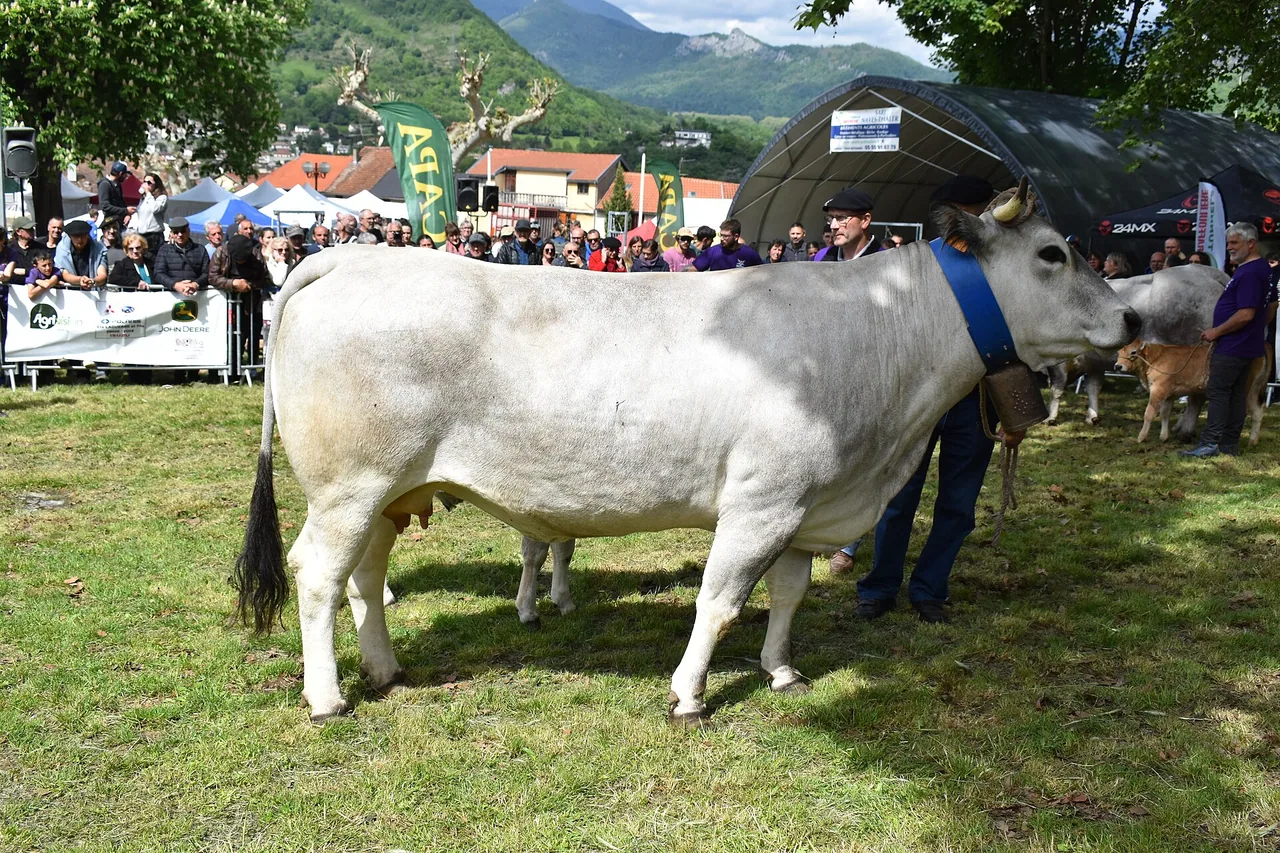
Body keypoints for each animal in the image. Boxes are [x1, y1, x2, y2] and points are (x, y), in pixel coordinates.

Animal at [233, 180, 1139, 726]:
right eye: (1052, 253)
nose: (1132, 319)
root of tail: (350, 254)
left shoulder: (804, 503)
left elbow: (787, 596)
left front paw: (781, 671)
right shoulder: (760, 502)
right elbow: (721, 601)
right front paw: (690, 693)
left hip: (387, 491)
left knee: (367, 577)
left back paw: (384, 669)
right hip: (350, 484)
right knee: (319, 574)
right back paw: (327, 695)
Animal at [1115, 340, 1268, 444]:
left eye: (1133, 352)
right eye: (1119, 352)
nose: (1117, 366)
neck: (1154, 359)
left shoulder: (1158, 391)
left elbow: (1149, 414)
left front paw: (1141, 437)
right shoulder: (1169, 395)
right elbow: (1165, 414)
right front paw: (1164, 436)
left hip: (1243, 388)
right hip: (1254, 390)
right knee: (1257, 412)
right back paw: (1253, 441)